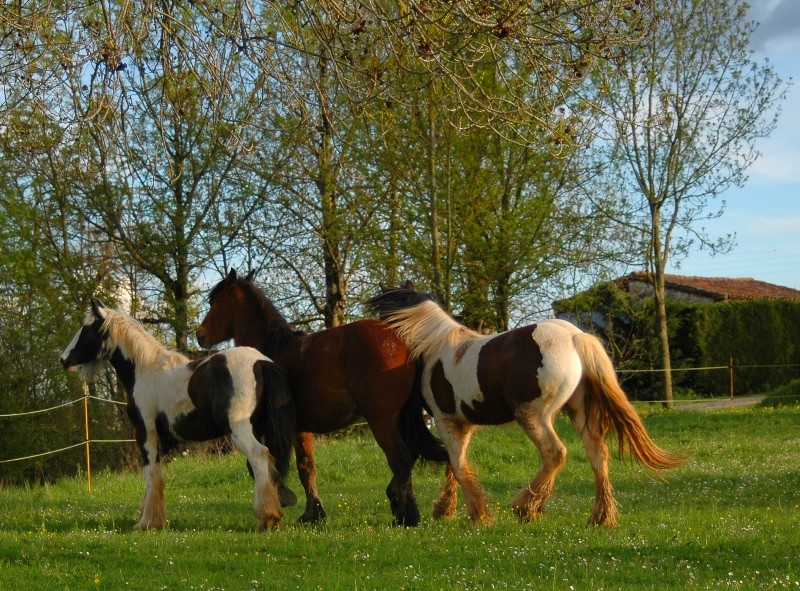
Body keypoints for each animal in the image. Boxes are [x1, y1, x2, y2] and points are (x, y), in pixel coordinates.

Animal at [58, 300, 296, 532]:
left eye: (87, 329)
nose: (63, 359)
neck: (146, 371)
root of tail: (260, 362)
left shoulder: (146, 435)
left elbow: (152, 476)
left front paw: (147, 523)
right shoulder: (163, 442)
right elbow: (154, 479)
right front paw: (150, 518)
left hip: (240, 431)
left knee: (259, 457)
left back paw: (268, 518)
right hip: (261, 428)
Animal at [192, 270, 444, 524]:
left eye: (215, 302)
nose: (200, 335)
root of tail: (401, 339)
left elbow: (263, 464)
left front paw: (287, 499)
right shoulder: (300, 429)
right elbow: (306, 467)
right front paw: (314, 513)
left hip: (381, 419)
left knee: (400, 457)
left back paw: (407, 515)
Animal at [368, 286, 688, 528]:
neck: (438, 346)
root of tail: (576, 337)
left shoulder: (447, 421)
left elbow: (458, 465)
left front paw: (478, 515)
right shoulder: (463, 424)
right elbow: (456, 465)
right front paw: (446, 508)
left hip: (533, 416)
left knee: (555, 453)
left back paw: (526, 507)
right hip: (579, 413)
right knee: (598, 454)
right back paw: (600, 517)